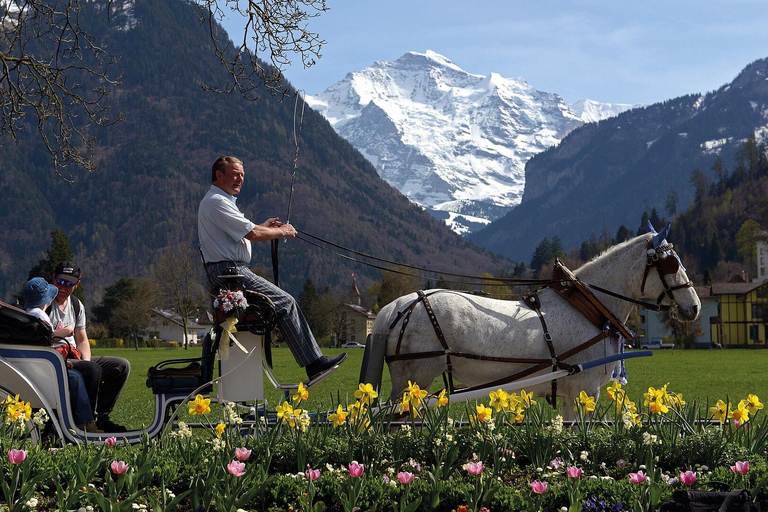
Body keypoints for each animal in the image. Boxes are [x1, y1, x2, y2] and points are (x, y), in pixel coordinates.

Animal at [368, 226, 704, 418]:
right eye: (670, 263)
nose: (695, 307)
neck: (588, 306)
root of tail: (398, 306)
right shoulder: (584, 390)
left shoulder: (573, 393)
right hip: (415, 381)